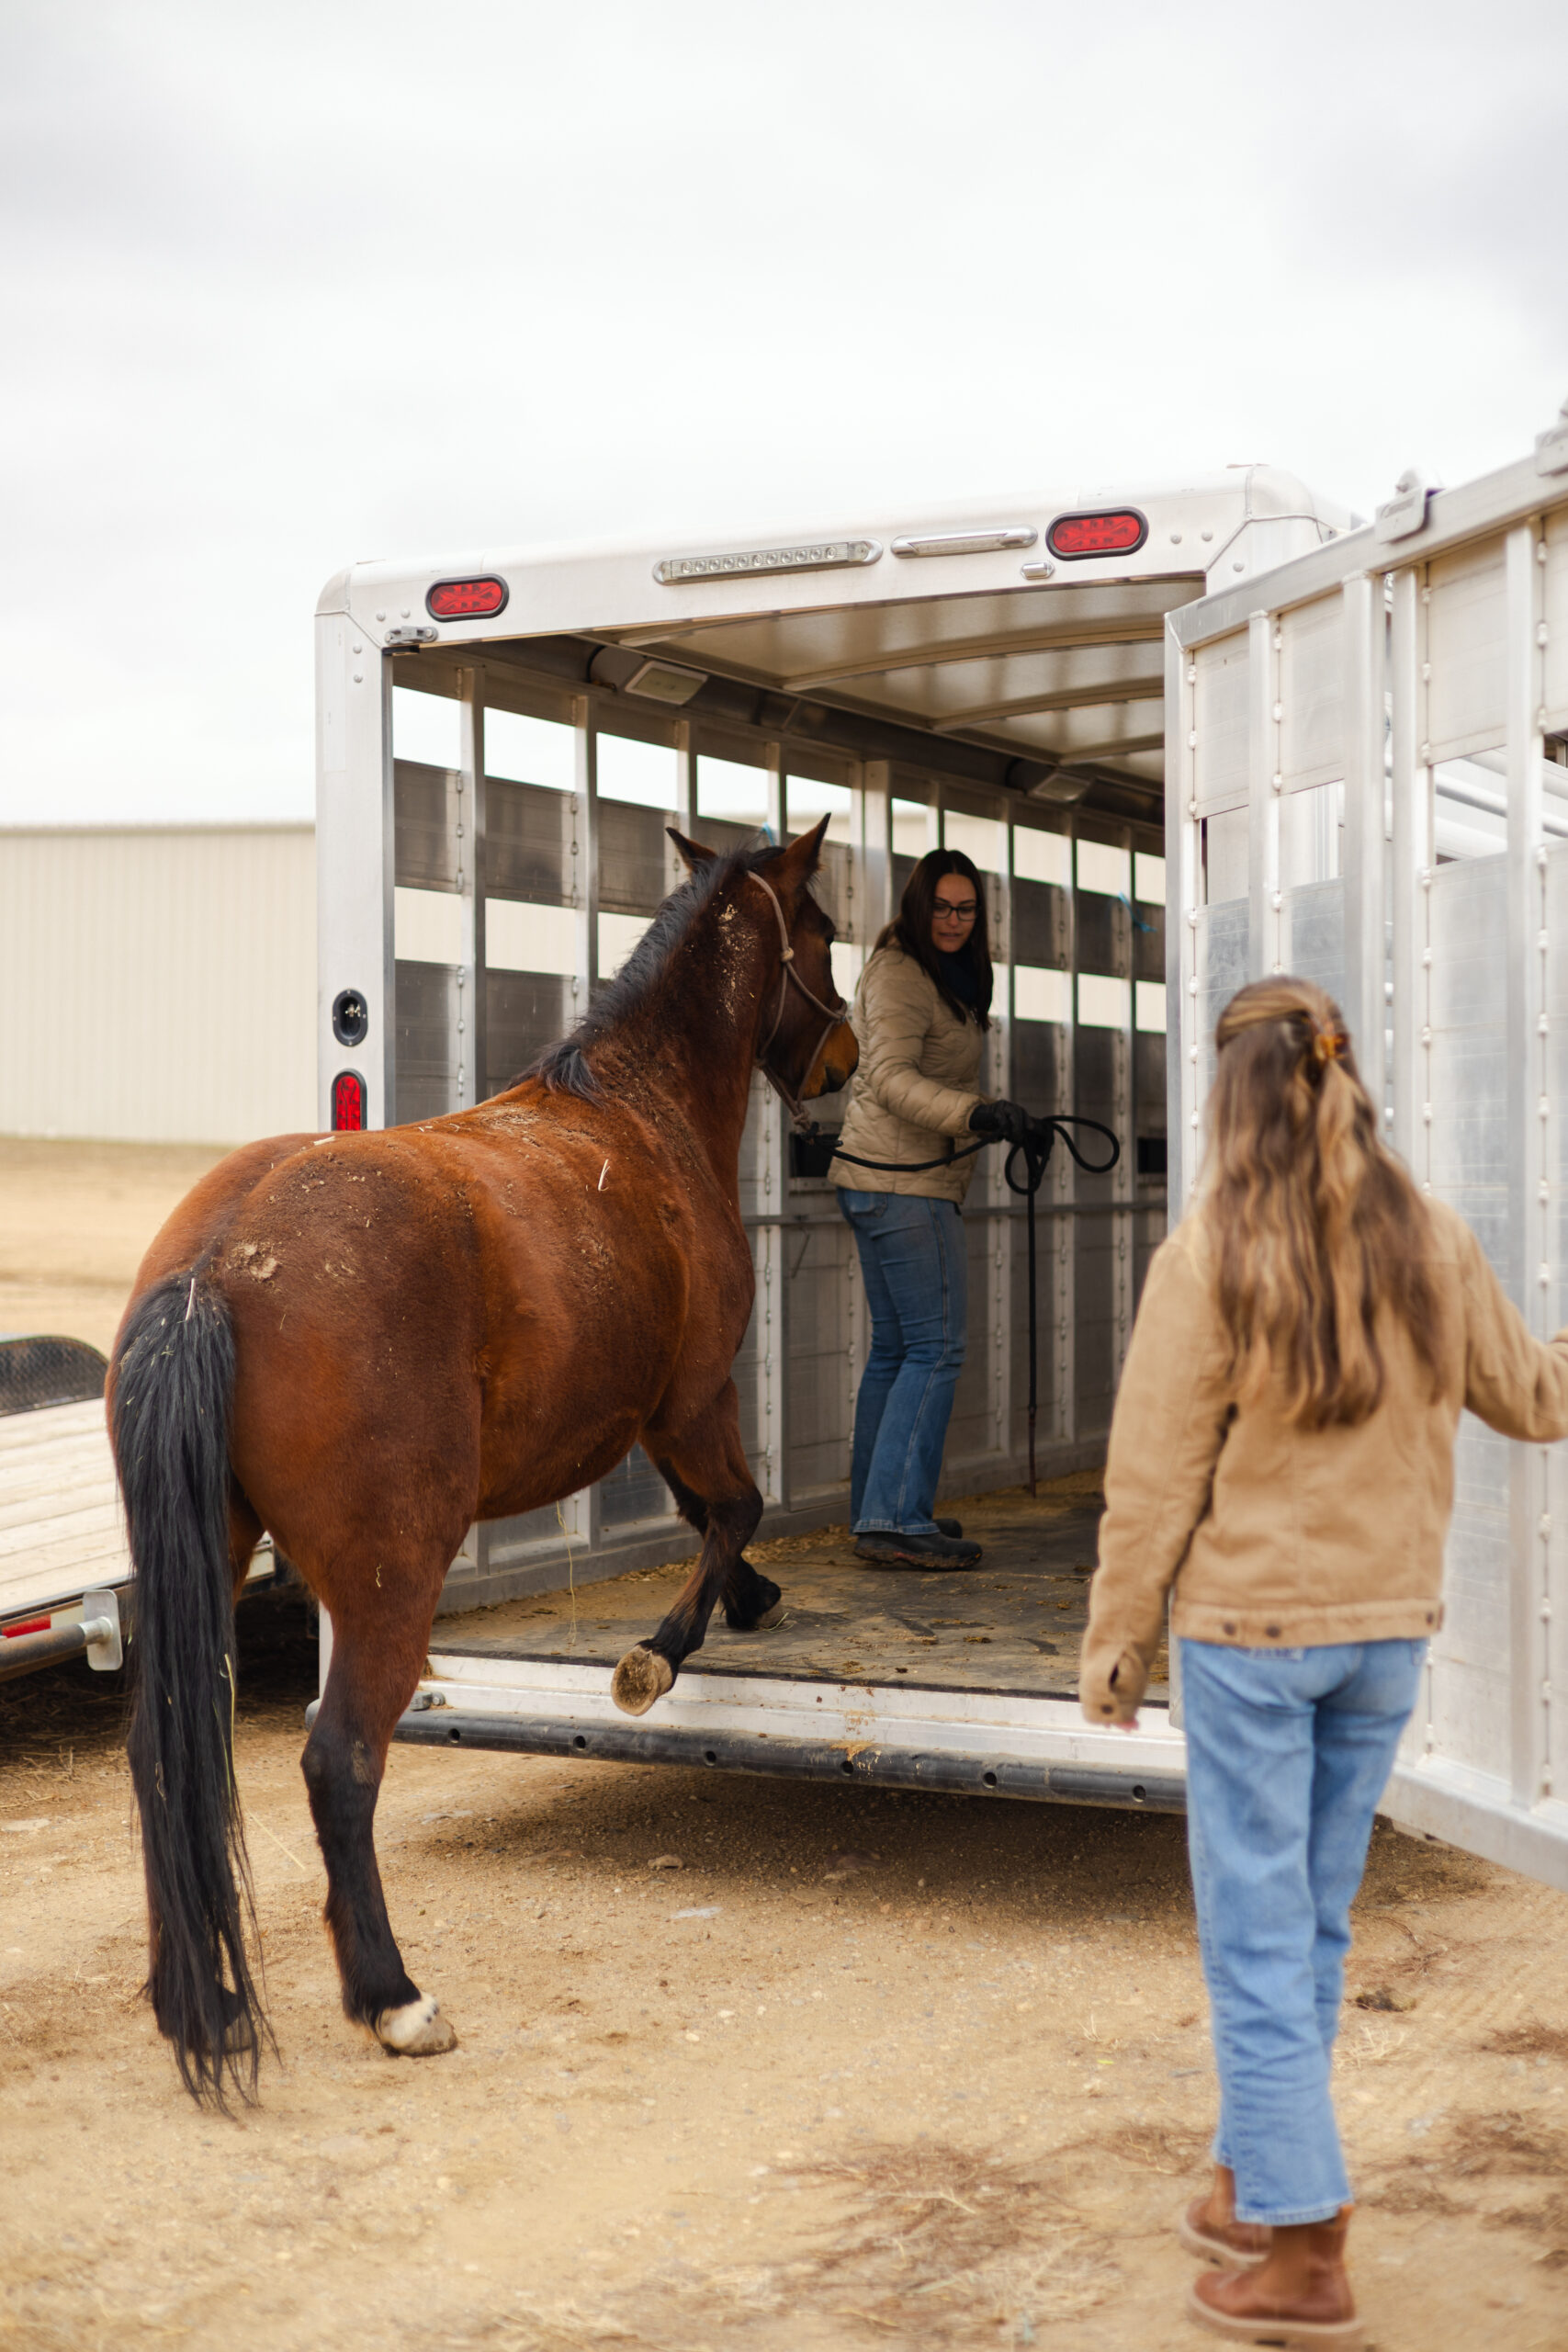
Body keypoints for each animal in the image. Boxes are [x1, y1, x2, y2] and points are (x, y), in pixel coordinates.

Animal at [107, 818, 856, 2104]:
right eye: (823, 932)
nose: (845, 1055)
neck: (635, 1113)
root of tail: (221, 1261)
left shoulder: (653, 1417)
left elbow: (713, 1512)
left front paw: (741, 1605)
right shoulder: (690, 1400)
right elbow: (734, 1505)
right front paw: (663, 1653)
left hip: (207, 1558)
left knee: (168, 1755)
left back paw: (195, 2002)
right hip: (387, 1583)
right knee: (341, 1761)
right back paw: (392, 1997)